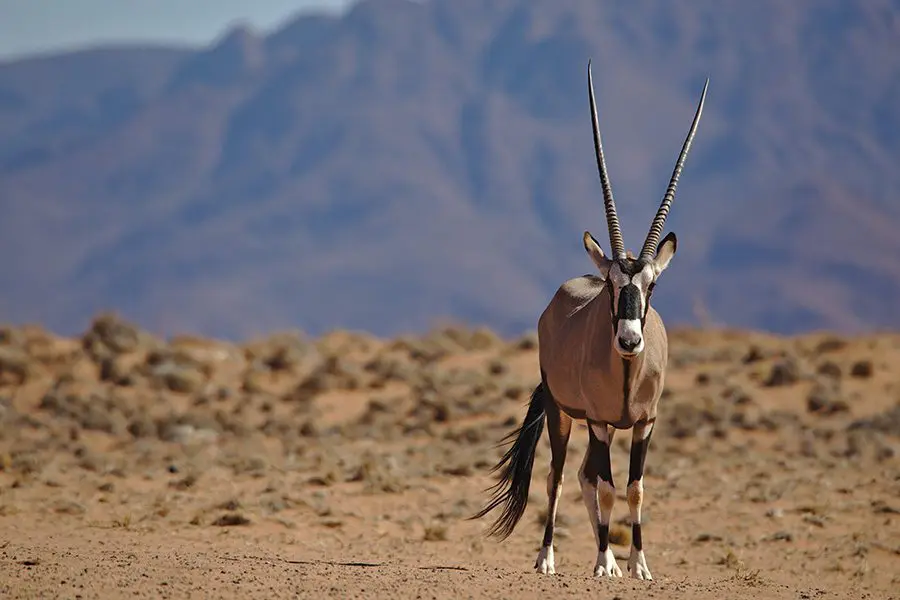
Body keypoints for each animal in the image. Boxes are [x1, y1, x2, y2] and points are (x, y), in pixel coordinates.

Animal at [472, 62, 712, 580]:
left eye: (651, 286)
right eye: (611, 285)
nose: (629, 340)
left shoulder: (644, 423)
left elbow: (634, 488)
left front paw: (638, 564)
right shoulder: (600, 422)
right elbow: (606, 487)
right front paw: (604, 563)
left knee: (584, 475)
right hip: (562, 413)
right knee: (561, 476)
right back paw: (549, 557)